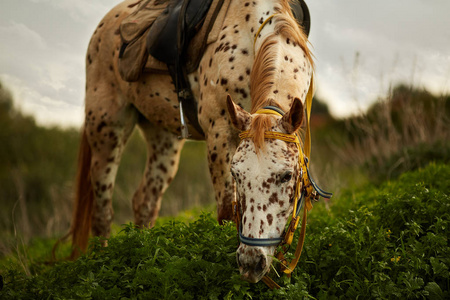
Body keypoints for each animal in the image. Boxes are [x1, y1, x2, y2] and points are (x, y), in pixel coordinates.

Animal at [68, 0, 328, 288]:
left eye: (286, 176)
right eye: (237, 175)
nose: (251, 262)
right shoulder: (219, 133)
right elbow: (226, 210)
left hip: (163, 138)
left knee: (145, 202)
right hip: (106, 130)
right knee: (102, 210)